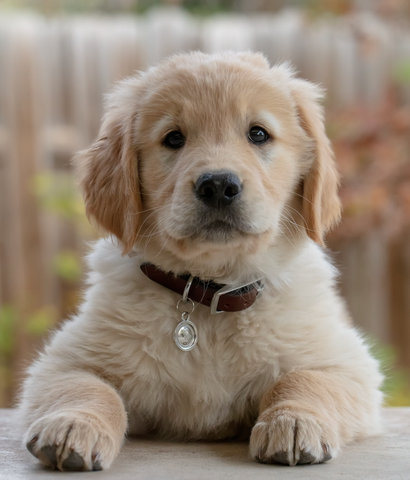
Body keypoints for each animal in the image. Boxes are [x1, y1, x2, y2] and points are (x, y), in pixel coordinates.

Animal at [20, 50, 382, 470]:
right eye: (174, 138)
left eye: (258, 134)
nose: (219, 185)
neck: (209, 294)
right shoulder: (63, 361)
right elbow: (87, 388)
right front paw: (73, 424)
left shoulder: (346, 362)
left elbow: (304, 380)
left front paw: (293, 422)